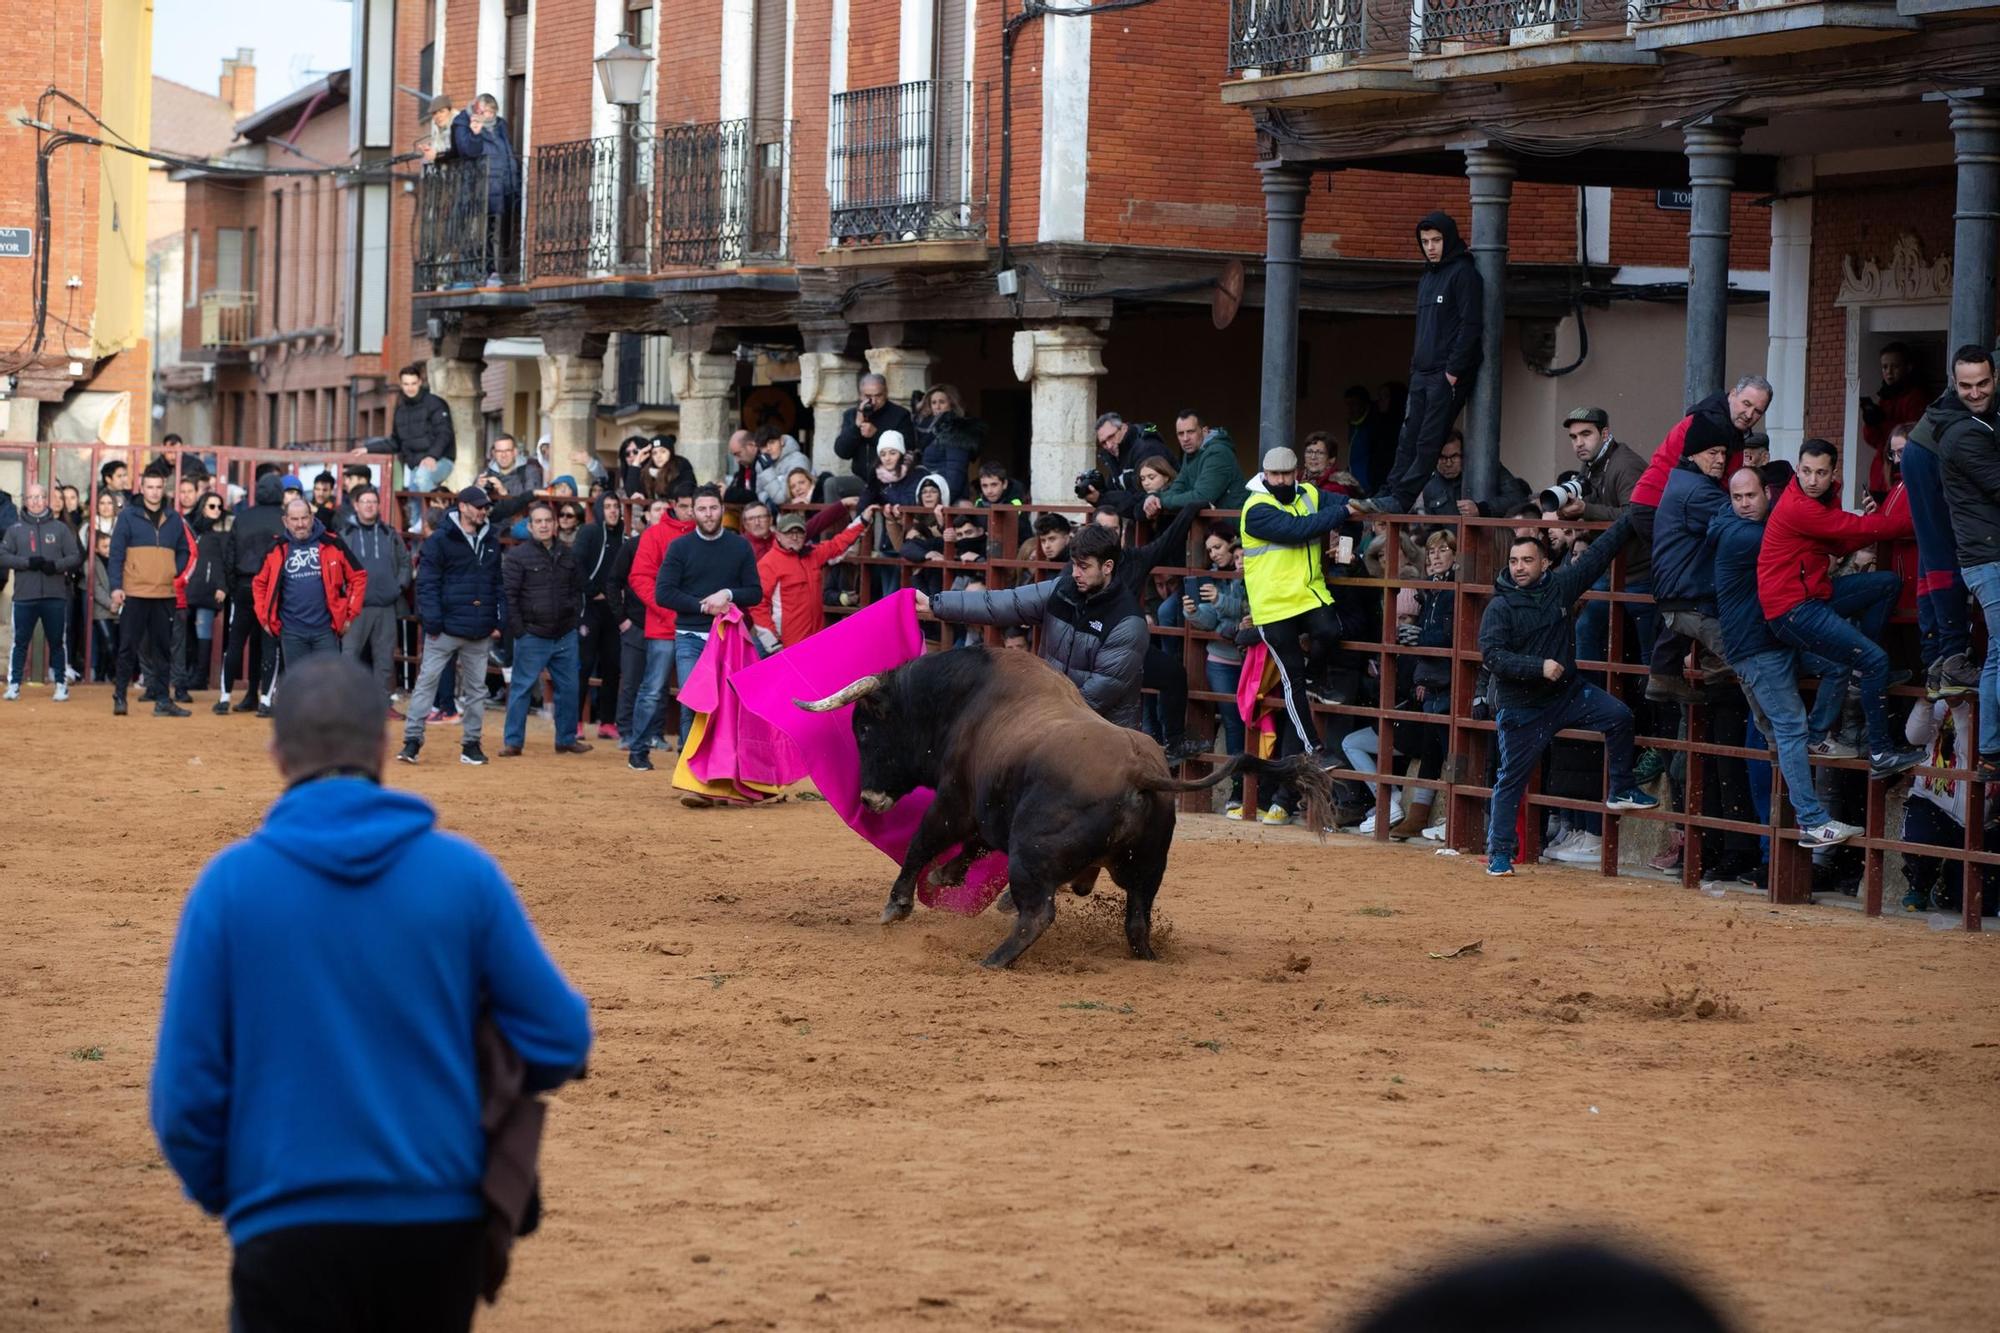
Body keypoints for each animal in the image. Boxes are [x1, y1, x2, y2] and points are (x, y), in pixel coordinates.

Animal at [792, 640, 1328, 960]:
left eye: (865, 730)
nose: (869, 798)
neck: (966, 700)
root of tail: (1141, 772)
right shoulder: (989, 808)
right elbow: (975, 845)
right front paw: (948, 876)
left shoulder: (955, 801)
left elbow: (923, 843)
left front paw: (897, 905)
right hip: (1148, 866)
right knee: (1137, 918)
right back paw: (1145, 956)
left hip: (1033, 851)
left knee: (1038, 914)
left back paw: (993, 960)